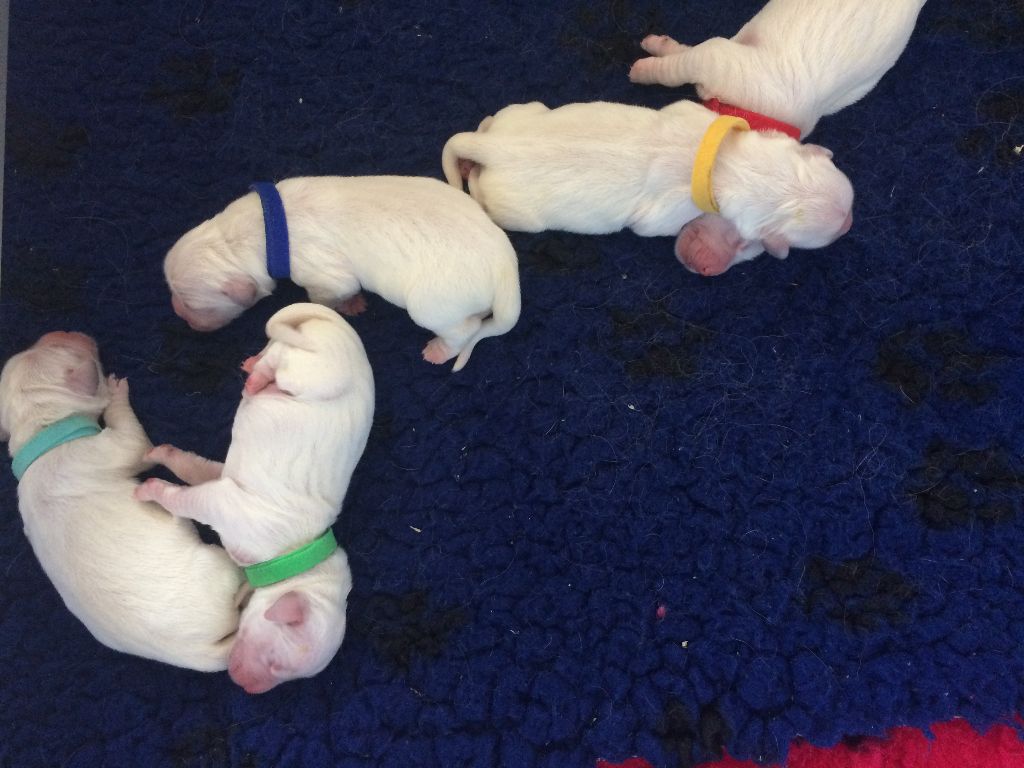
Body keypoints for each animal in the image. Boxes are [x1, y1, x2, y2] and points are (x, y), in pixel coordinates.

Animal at [0, 332, 242, 671]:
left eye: (39, 345)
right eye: (61, 348)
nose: (65, 331)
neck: (42, 434)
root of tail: (200, 654)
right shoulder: (115, 446)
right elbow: (133, 437)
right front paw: (116, 392)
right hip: (217, 566)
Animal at [135, 303, 375, 693]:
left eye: (285, 675)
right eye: (277, 662)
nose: (246, 688)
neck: (295, 554)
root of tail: (341, 329)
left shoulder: (222, 482)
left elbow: (193, 468)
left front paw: (163, 455)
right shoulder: (222, 504)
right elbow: (182, 498)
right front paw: (148, 490)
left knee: (276, 349)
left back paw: (254, 367)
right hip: (316, 371)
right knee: (283, 360)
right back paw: (258, 377)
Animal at [164, 175, 521, 371]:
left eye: (190, 304)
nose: (178, 314)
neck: (264, 226)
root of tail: (506, 266)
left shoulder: (323, 274)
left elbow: (329, 294)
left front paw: (344, 305)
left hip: (433, 304)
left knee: (464, 329)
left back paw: (439, 350)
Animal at [441, 100, 853, 268]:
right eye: (835, 232)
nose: (850, 221)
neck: (731, 165)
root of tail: (488, 148)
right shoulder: (667, 216)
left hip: (520, 113)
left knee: (496, 119)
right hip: (512, 211)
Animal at [629, 0, 928, 274]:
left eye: (758, 244)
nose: (704, 267)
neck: (759, 118)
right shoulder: (719, 59)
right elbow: (679, 64)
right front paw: (645, 64)